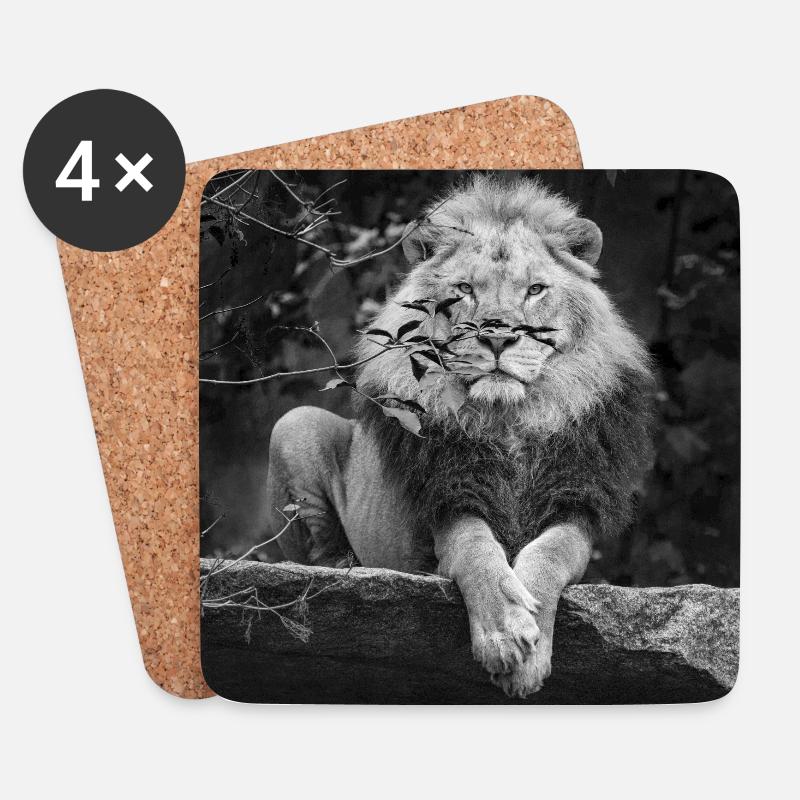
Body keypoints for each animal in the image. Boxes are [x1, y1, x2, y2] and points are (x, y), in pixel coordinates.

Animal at [266, 175, 654, 698]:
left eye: (535, 290)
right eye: (464, 289)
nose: (497, 337)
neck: (507, 419)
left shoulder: (576, 501)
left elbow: (551, 554)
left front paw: (531, 648)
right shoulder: (447, 499)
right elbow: (476, 550)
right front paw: (505, 633)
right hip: (295, 424)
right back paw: (347, 568)